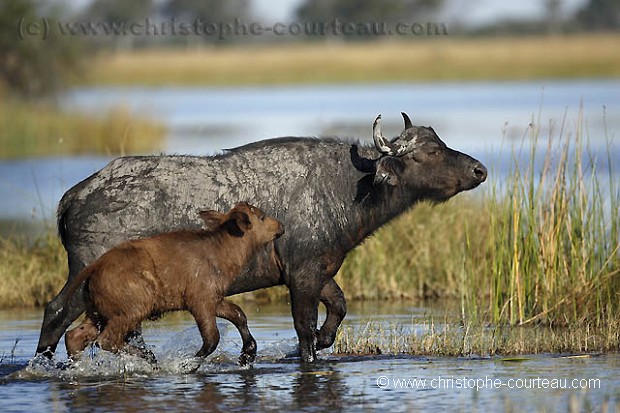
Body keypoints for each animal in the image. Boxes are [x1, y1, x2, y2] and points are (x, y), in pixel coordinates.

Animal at [63, 201, 286, 366]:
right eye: (262, 216)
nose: (281, 226)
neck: (228, 257)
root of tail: (93, 268)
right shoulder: (199, 300)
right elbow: (211, 339)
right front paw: (188, 363)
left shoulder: (214, 298)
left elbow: (239, 314)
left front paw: (248, 352)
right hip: (131, 309)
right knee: (105, 340)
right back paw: (149, 357)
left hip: (98, 311)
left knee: (73, 335)